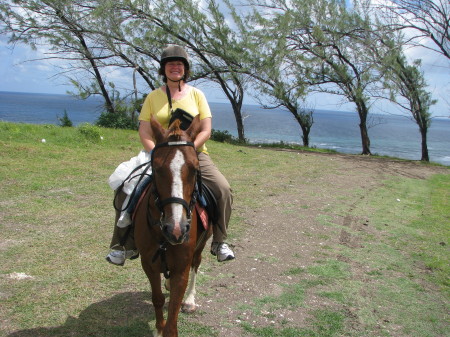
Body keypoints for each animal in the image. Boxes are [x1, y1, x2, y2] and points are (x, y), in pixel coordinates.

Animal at [134, 115, 213, 336]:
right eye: (157, 168)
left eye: (195, 169)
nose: (176, 229)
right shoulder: (148, 263)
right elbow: (158, 298)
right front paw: (159, 328)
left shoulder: (181, 268)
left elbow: (174, 310)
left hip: (201, 246)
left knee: (196, 264)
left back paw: (190, 300)